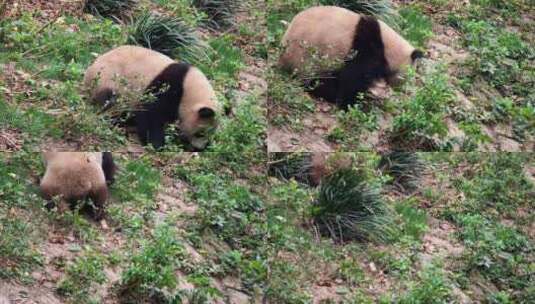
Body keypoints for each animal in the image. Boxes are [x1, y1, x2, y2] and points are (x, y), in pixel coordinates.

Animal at [85, 45, 219, 150]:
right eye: (200, 133)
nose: (200, 148)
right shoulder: (168, 86)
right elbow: (150, 113)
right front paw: (157, 144)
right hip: (110, 80)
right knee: (112, 103)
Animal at [278, 5, 426, 108]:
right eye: (413, 72)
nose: (406, 88)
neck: (388, 46)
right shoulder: (365, 48)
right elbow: (353, 77)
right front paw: (351, 104)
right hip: (308, 57)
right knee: (316, 80)